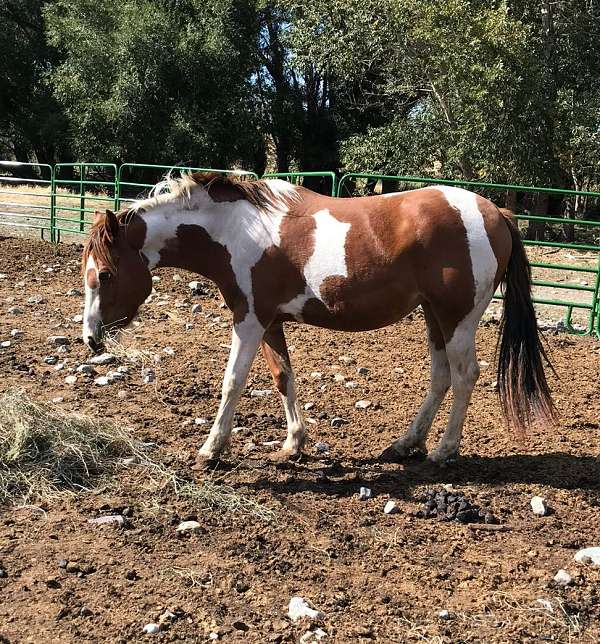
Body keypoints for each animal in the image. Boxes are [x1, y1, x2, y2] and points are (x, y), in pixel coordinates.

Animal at [82, 171, 556, 468]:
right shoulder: (269, 321)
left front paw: (211, 450)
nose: (91, 338)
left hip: (457, 319)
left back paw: (444, 450)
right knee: (440, 378)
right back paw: (406, 444)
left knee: (465, 376)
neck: (236, 231)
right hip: (432, 316)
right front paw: (293, 444)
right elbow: (283, 378)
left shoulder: (249, 320)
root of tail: (496, 213)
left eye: (104, 275)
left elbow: (233, 381)